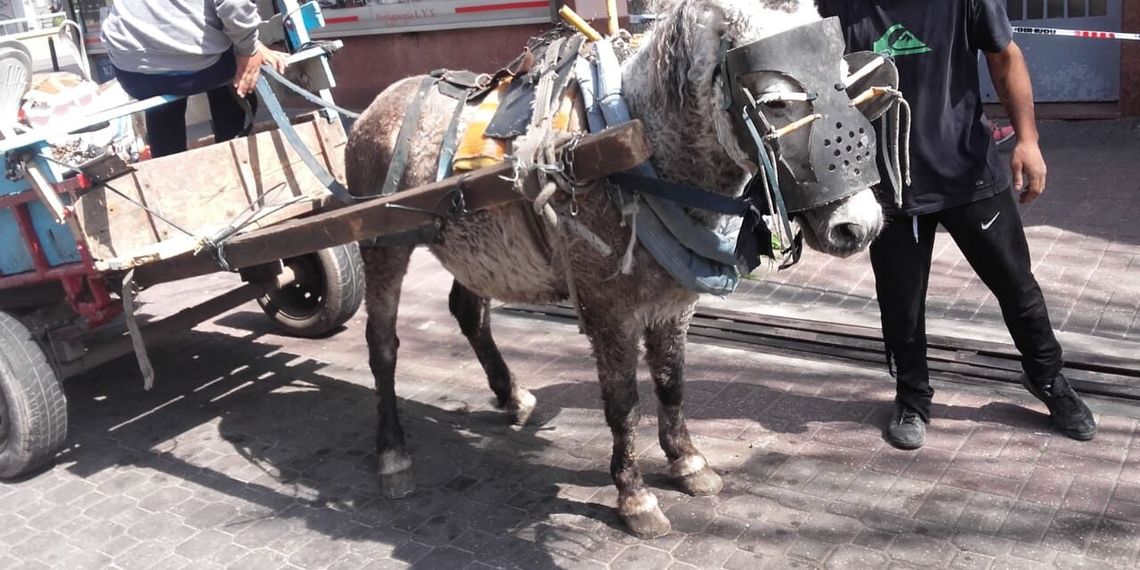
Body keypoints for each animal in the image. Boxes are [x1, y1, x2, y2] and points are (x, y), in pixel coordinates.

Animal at [345, 0, 887, 538]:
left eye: (847, 82)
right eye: (775, 104)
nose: (858, 226)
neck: (637, 149)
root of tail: (376, 105)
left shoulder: (673, 305)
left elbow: (671, 383)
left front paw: (687, 462)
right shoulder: (608, 311)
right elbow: (624, 404)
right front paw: (634, 496)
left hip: (473, 248)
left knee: (468, 313)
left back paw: (511, 395)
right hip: (381, 243)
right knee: (382, 344)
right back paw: (392, 452)